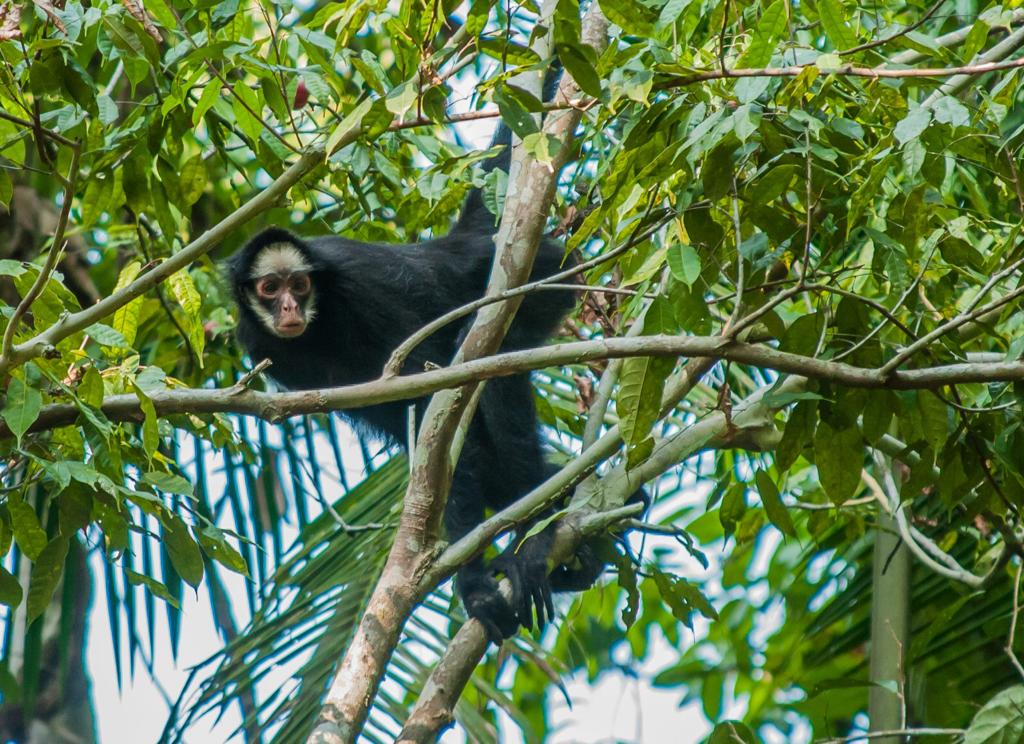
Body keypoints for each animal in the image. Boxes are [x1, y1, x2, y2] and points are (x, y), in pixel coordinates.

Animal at [227, 69, 618, 642]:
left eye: (299, 285)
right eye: (269, 288)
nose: (288, 308)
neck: (319, 325)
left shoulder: (361, 285)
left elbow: (442, 420)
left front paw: (474, 583)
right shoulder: (263, 346)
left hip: (547, 274)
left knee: (489, 359)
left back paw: (536, 541)